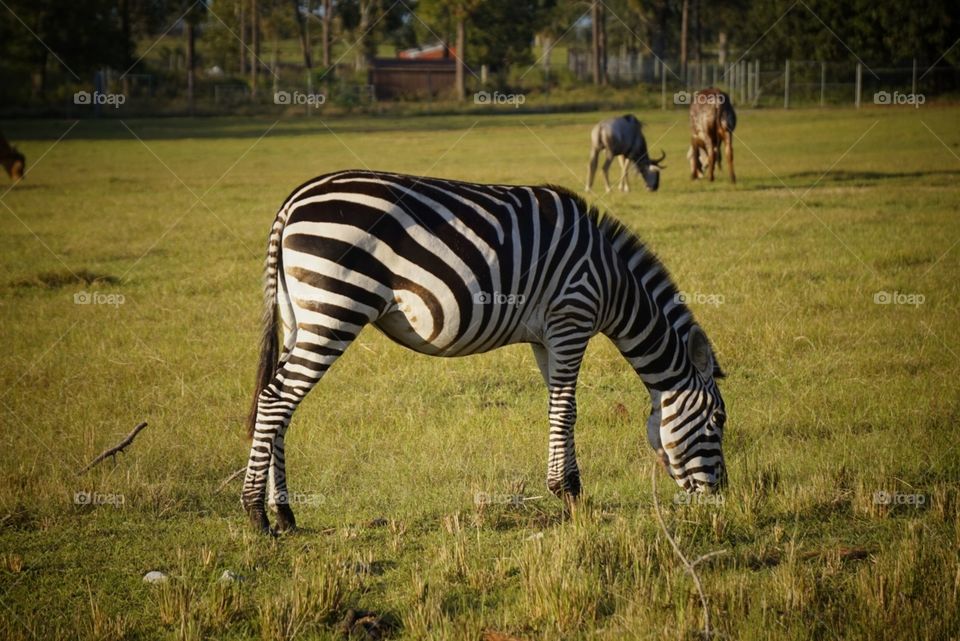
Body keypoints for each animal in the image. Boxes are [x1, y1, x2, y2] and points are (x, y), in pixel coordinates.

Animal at [242, 169, 726, 534]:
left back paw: (285, 514)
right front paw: (570, 495)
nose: (720, 498)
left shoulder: (547, 338)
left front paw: (569, 494)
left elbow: (558, 407)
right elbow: (566, 411)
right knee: (275, 399)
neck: (612, 281)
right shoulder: (572, 318)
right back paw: (256, 515)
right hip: (336, 307)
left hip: (300, 317)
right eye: (717, 422)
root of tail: (292, 203)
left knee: (279, 404)